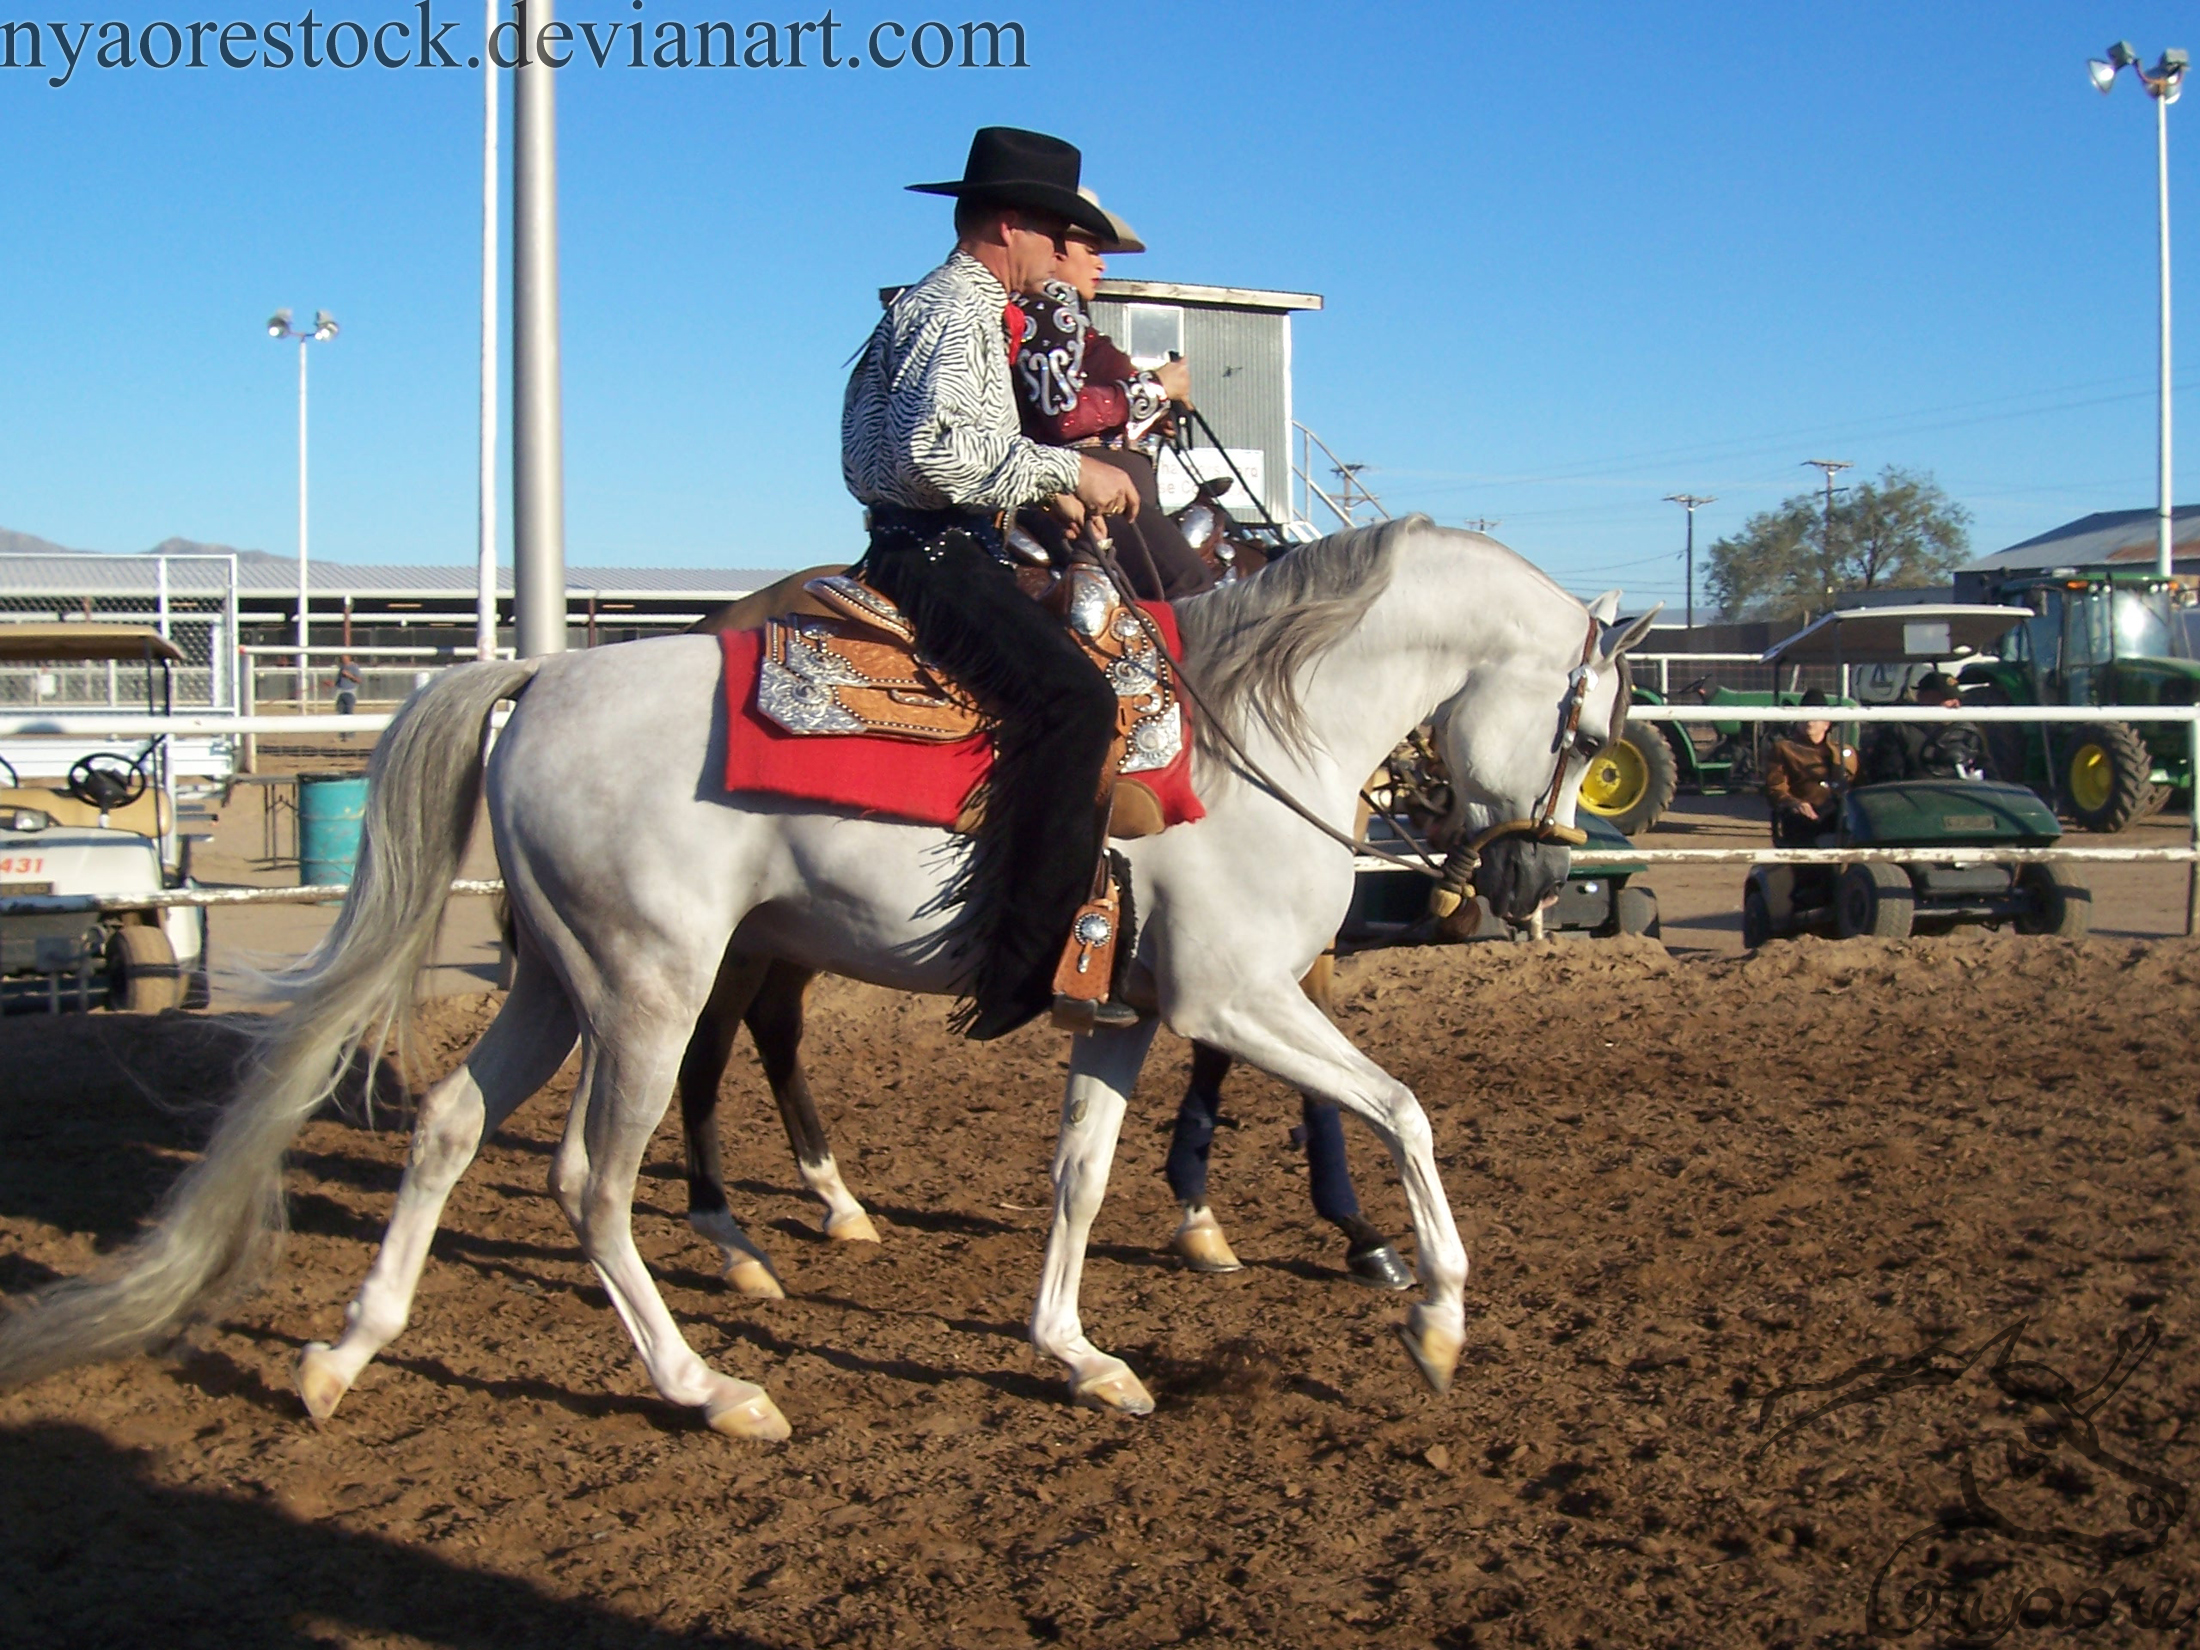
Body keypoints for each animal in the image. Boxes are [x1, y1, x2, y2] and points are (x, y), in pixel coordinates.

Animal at [0, 519, 1654, 1443]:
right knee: (594, 1179)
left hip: (565, 982)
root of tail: (545, 677)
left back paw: (343, 1355)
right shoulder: (1235, 999)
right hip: (652, 986)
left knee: (455, 1128)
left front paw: (1078, 1355)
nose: (1529, 885)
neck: (1258, 730)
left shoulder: (1129, 1018)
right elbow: (1404, 1109)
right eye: (1587, 727)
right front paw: (1435, 1315)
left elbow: (1078, 1177)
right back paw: (713, 1383)